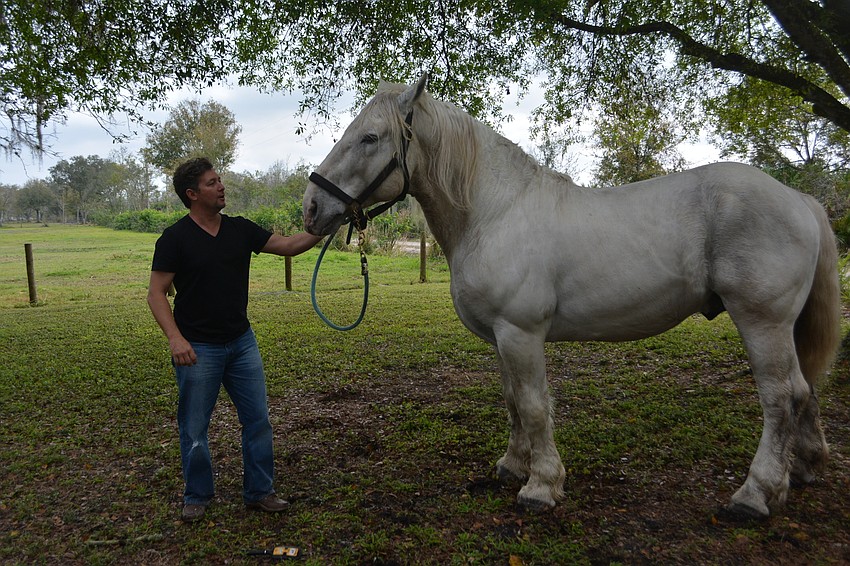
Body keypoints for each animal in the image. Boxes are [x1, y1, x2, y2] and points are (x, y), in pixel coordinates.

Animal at [302, 73, 841, 518]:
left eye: (370, 138)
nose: (311, 208)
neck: (495, 212)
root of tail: (801, 200)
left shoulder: (521, 333)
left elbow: (534, 405)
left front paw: (541, 486)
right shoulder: (501, 337)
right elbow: (513, 401)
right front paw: (513, 465)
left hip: (762, 321)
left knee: (781, 396)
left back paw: (754, 494)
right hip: (784, 327)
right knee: (805, 390)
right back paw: (802, 470)